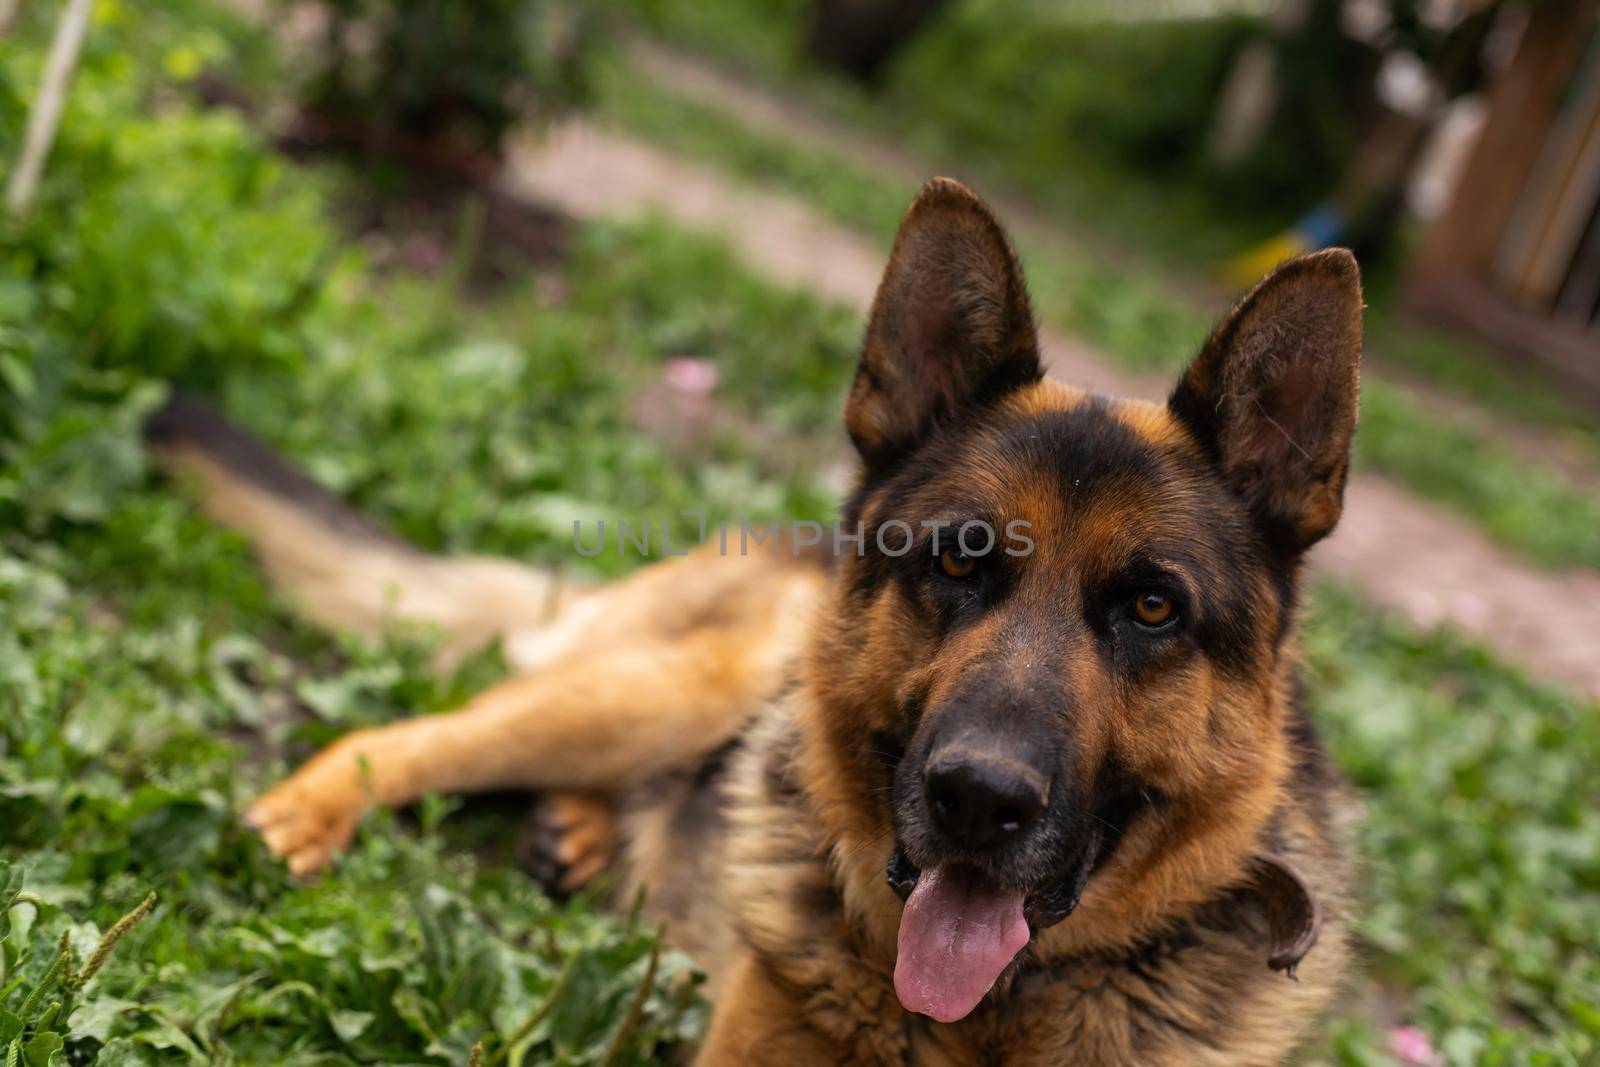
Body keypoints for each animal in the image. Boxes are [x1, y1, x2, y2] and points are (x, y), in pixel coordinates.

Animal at [150, 179, 1363, 1062]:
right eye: (957, 560)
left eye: (1153, 607)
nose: (977, 799)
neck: (979, 1017)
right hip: (656, 691)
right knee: (404, 735)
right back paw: (308, 815)